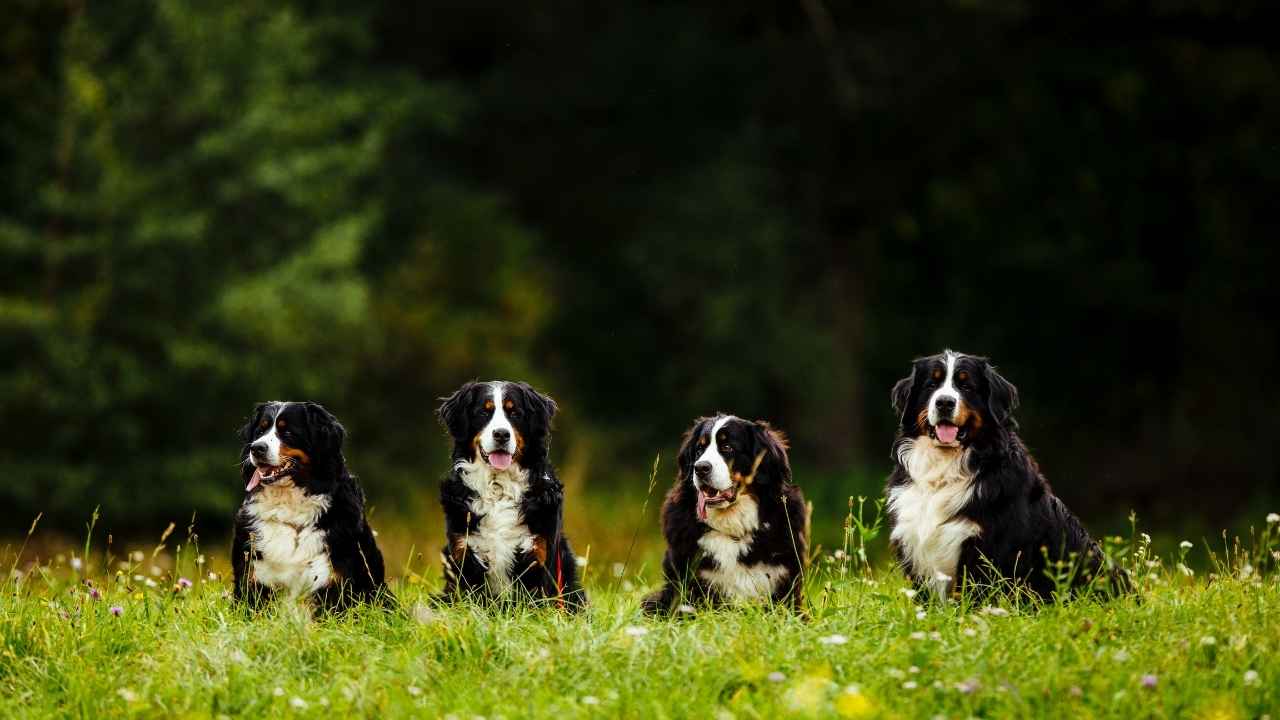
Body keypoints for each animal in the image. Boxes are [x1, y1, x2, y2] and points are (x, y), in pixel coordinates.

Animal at [231, 399, 384, 607]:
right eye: (260, 431)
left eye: (287, 432)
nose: (256, 448)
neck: (288, 507)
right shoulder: (252, 580)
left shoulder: (335, 582)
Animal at [435, 379, 586, 607]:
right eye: (484, 412)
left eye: (514, 413)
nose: (501, 434)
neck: (498, 487)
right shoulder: (465, 555)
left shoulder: (539, 556)